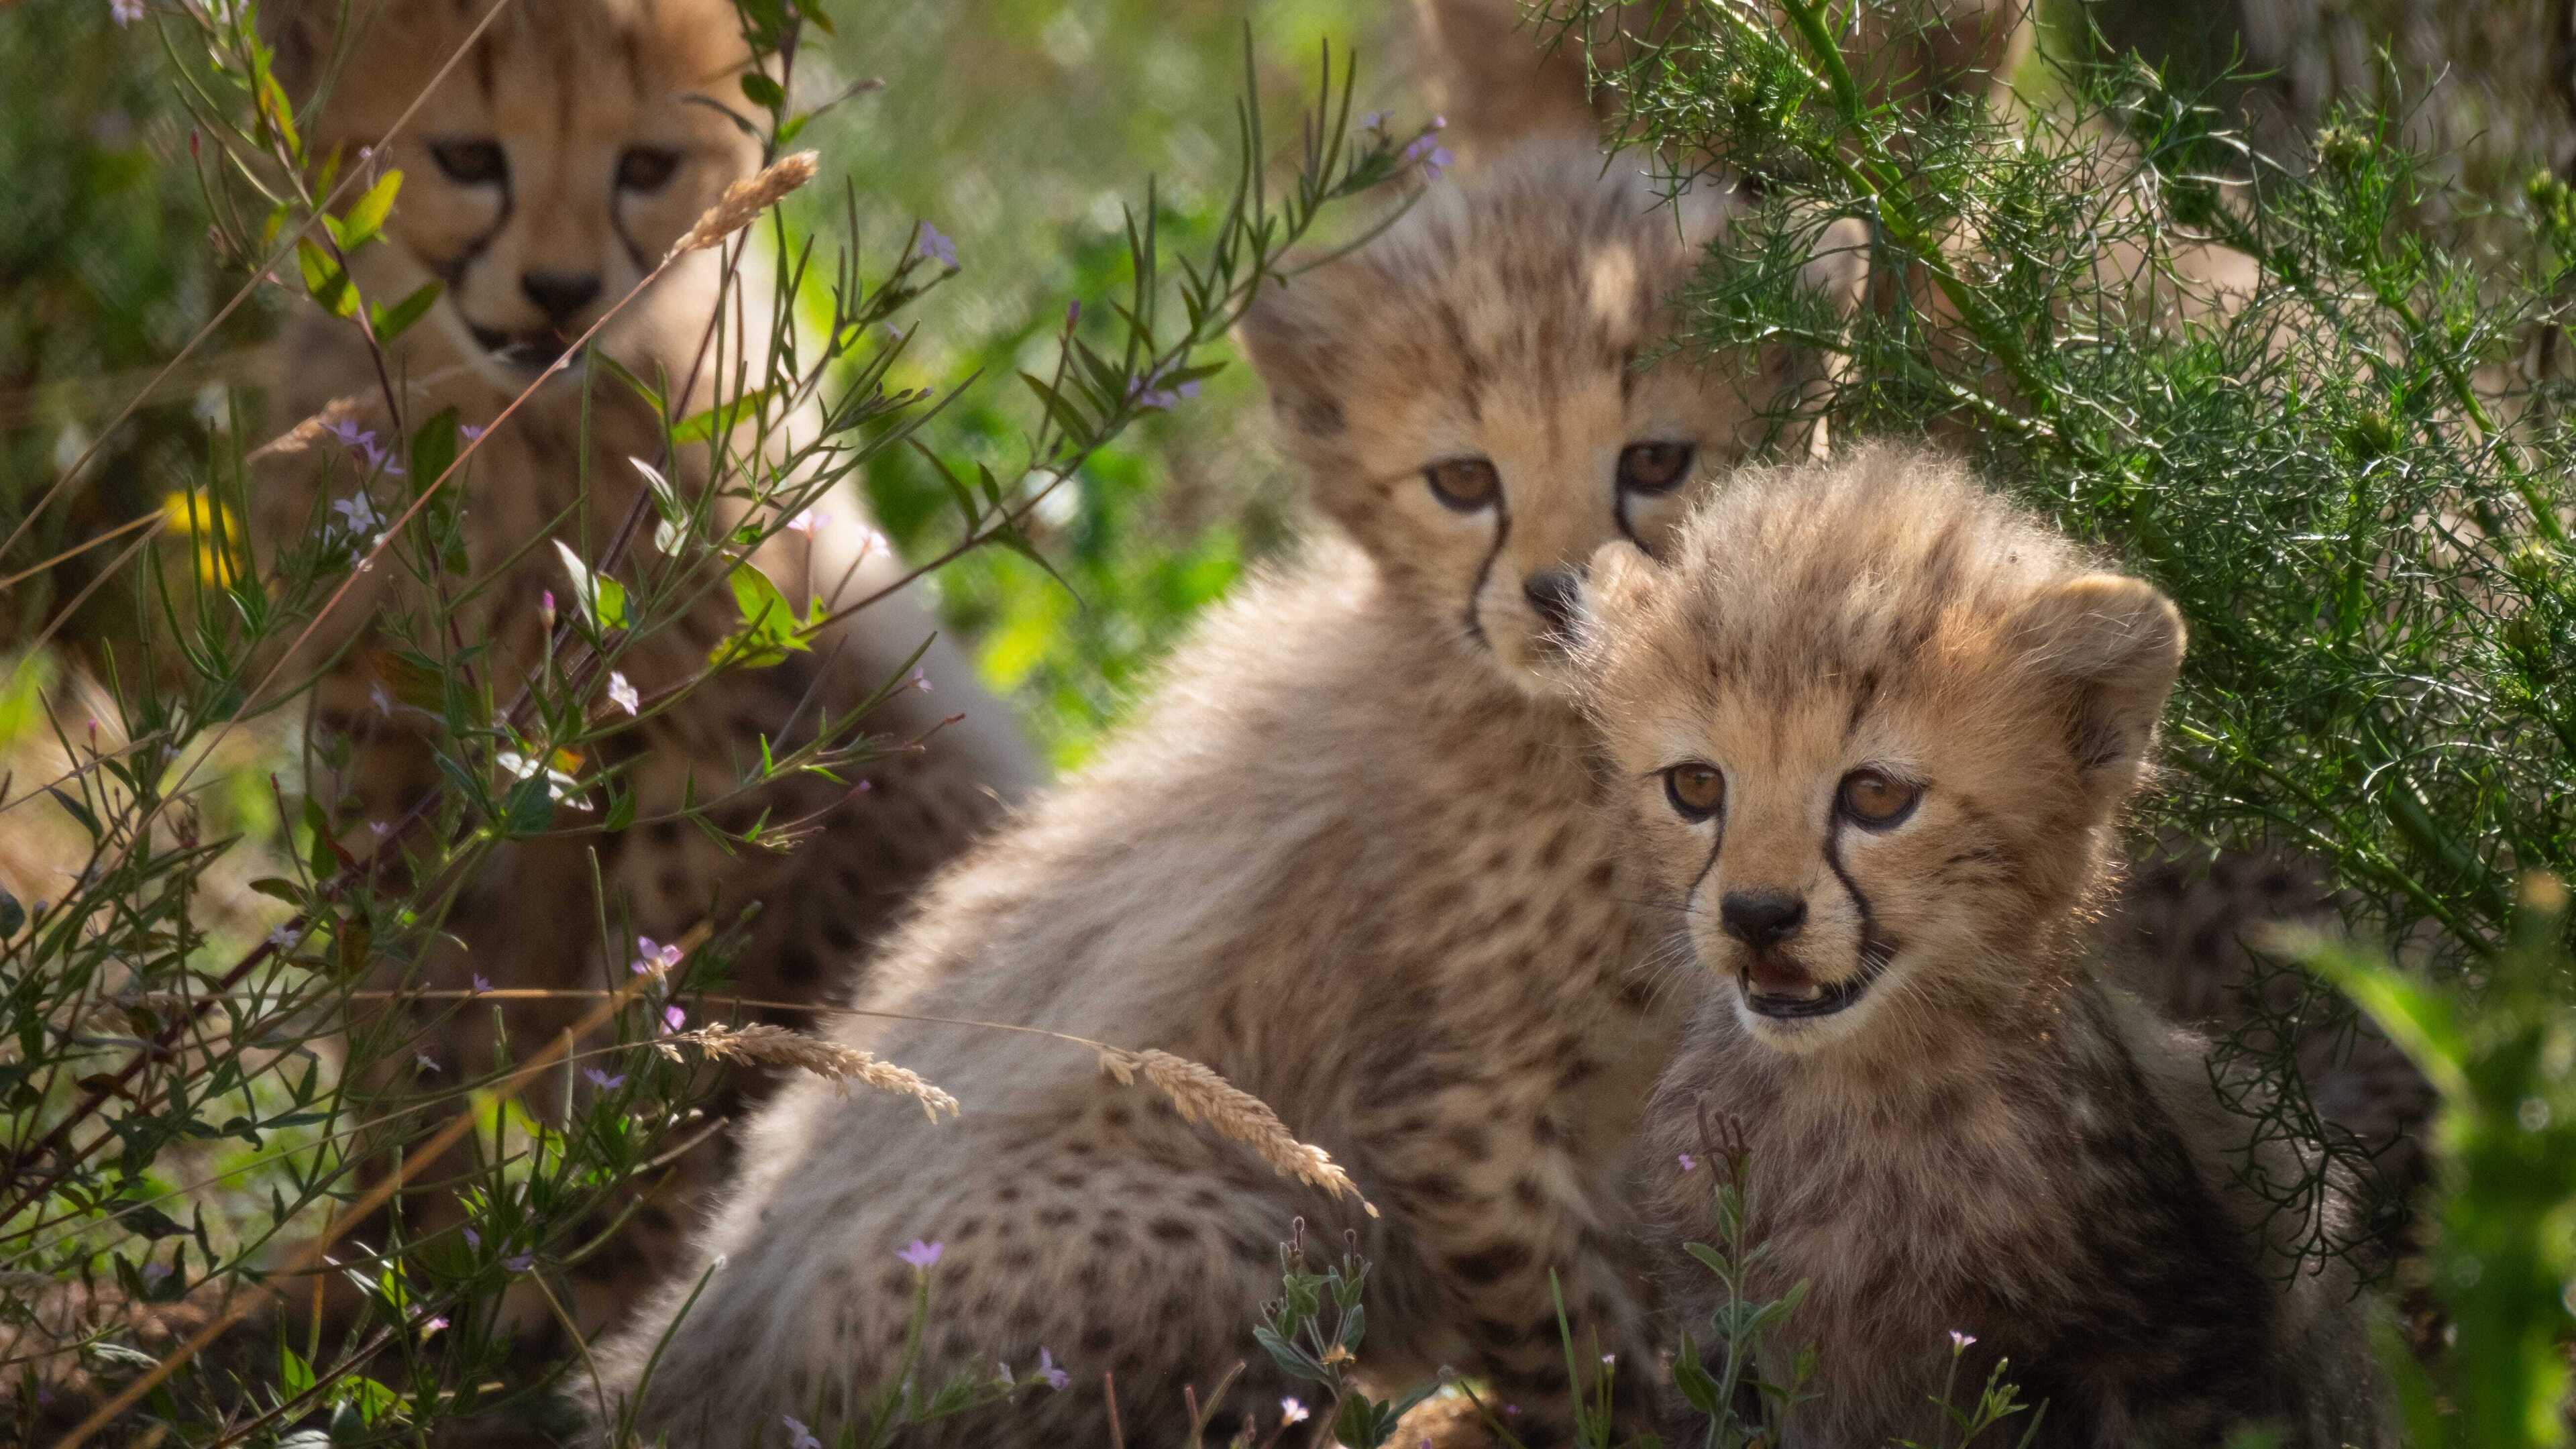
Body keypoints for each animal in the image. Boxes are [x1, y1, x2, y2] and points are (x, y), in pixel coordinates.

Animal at [245, 0, 1041, 1349]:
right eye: (468, 157)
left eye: (648, 167)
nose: (562, 292)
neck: (513, 429)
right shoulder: (389, 711)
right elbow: (400, 983)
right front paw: (379, 1258)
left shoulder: (717, 743)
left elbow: (676, 1039)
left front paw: (607, 1290)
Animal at [585, 137, 1868, 1447]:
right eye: (1464, 480)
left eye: (1656, 461)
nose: (1563, 598)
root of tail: (686, 1352)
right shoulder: (1451, 1114)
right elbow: (1574, 1350)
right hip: (1236, 1233)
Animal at [1571, 443, 2392, 1448]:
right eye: (1695, 786)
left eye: (1876, 796)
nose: (1757, 916)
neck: (1866, 1093)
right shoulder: (1722, 1340)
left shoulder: (2180, 1349)